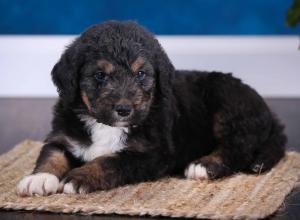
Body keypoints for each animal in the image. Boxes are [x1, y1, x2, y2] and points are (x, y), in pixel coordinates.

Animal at [17, 20, 286, 196]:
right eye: (100, 75)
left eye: (141, 74)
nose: (124, 109)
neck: (106, 126)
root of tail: (269, 114)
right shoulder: (64, 134)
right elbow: (52, 154)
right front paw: (39, 179)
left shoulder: (153, 153)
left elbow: (111, 160)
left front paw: (80, 176)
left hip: (227, 103)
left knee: (237, 147)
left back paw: (204, 165)